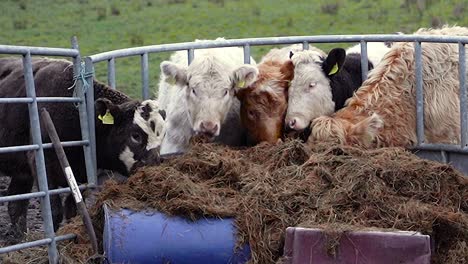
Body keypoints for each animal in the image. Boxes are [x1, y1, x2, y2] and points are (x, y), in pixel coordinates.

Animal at [0, 57, 166, 239]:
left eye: (162, 135)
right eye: (135, 135)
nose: (155, 168)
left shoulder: (84, 175)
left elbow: (73, 210)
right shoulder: (42, 163)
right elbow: (54, 211)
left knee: (16, 204)